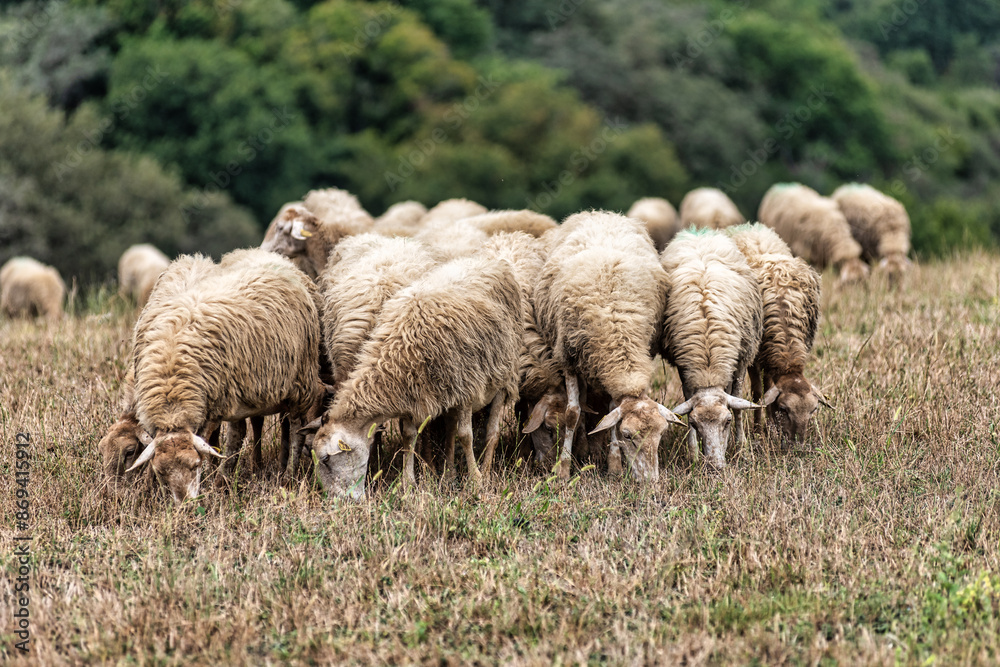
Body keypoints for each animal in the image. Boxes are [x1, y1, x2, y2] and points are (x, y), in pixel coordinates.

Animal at [127, 249, 325, 502]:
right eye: (162, 472)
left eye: (194, 465)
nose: (185, 504)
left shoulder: (214, 406)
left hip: (298, 384)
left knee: (294, 429)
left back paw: (287, 477)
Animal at [303, 255, 522, 498]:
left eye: (325, 458)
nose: (337, 501)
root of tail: (490, 260)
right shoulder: (415, 397)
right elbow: (409, 437)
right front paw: (407, 484)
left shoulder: (467, 389)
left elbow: (466, 435)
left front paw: (476, 481)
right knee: (450, 431)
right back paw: (449, 475)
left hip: (504, 377)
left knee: (492, 432)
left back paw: (487, 471)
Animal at [534, 211, 685, 482]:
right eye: (628, 435)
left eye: (661, 434)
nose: (651, 481)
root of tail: (602, 213)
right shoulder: (567, 359)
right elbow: (572, 414)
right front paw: (563, 469)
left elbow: (612, 410)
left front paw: (614, 466)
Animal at [660, 228, 763, 469]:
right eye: (695, 423)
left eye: (726, 422)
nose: (715, 467)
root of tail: (698, 232)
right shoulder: (684, 368)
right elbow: (688, 398)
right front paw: (693, 455)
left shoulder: (741, 358)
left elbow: (738, 403)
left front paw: (742, 449)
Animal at [725, 223, 830, 444]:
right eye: (784, 408)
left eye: (813, 410)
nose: (798, 443)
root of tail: (749, 226)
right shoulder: (755, 356)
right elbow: (758, 393)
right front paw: (758, 429)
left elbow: (767, 388)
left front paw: (770, 427)